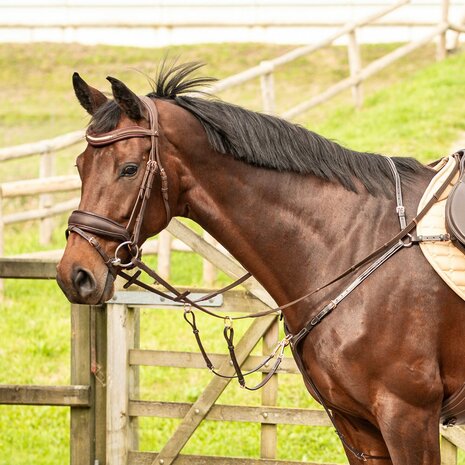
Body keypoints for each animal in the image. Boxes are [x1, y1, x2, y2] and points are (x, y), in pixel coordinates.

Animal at [55, 61, 464, 464]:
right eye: (80, 165)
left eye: (129, 169)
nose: (74, 274)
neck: (353, 242)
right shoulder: (359, 429)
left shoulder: (407, 416)